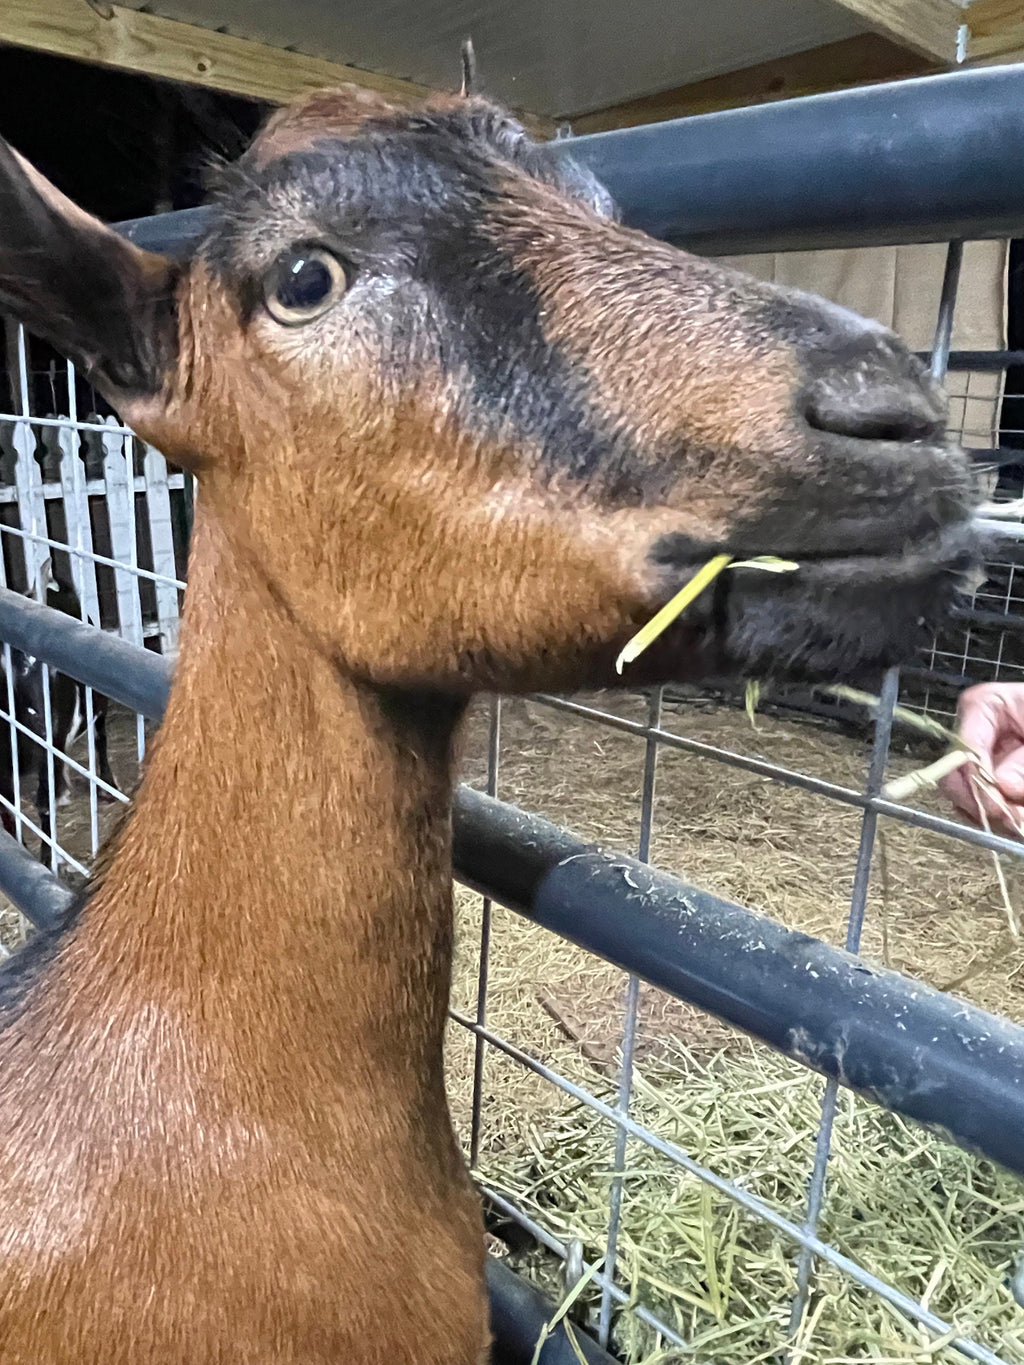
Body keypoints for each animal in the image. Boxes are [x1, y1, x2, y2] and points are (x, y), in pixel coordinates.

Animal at [0, 559, 118, 863]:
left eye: (48, 667)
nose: (40, 725)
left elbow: (43, 802)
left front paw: (48, 861)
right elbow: (9, 807)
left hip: (97, 701)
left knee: (100, 737)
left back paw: (107, 787)